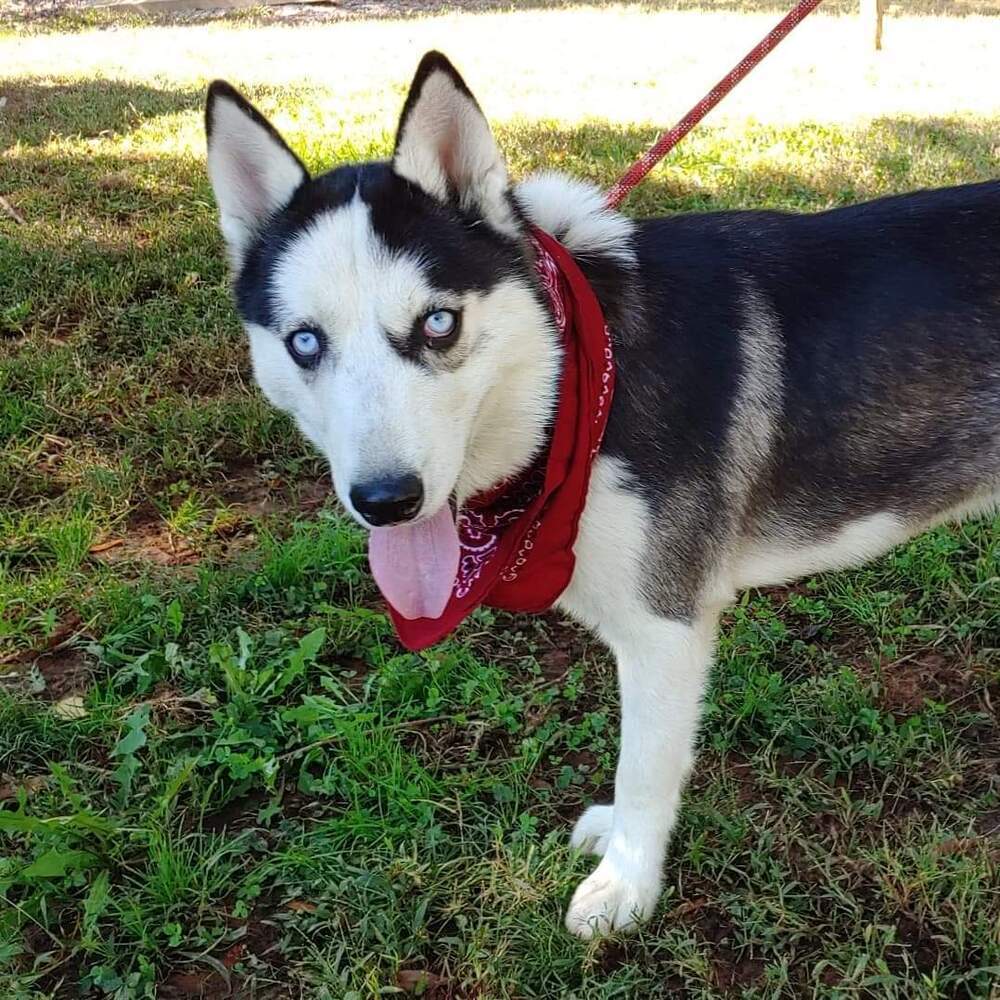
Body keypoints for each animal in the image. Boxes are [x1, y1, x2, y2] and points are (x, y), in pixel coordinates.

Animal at [205, 48, 1000, 936]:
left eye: (438, 324)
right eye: (306, 343)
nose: (387, 500)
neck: (576, 381)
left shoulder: (666, 626)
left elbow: (643, 768)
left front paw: (628, 884)